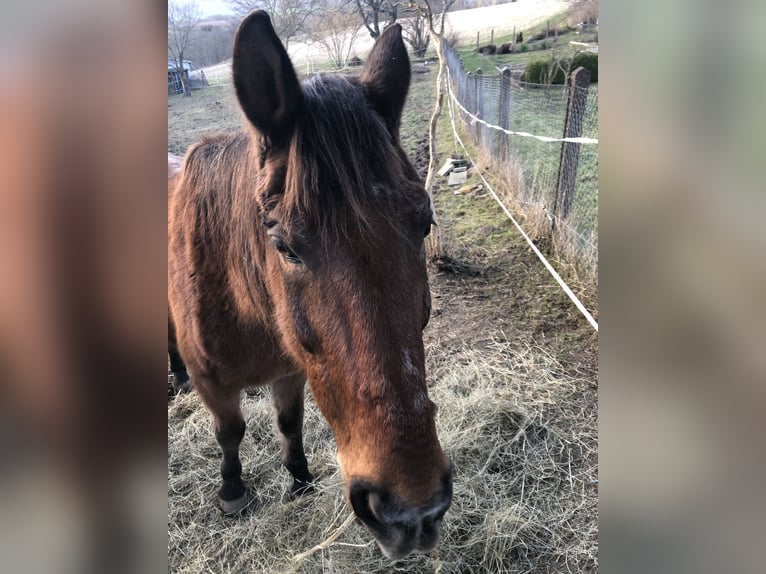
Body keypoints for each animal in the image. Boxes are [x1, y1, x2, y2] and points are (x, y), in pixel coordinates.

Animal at [168, 12, 450, 564]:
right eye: (286, 247)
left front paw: (298, 480)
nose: (412, 513)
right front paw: (232, 492)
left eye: (424, 224)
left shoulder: (291, 369)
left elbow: (289, 422)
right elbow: (230, 431)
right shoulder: (214, 383)